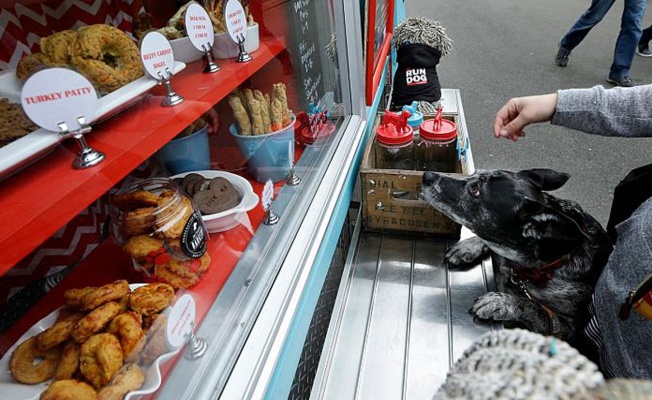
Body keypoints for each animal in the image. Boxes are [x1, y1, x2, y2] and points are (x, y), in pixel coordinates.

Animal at [422, 167, 612, 346]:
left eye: (475, 190)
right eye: (474, 174)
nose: (426, 176)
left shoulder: (570, 329)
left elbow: (536, 308)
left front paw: (502, 303)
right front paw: (469, 246)